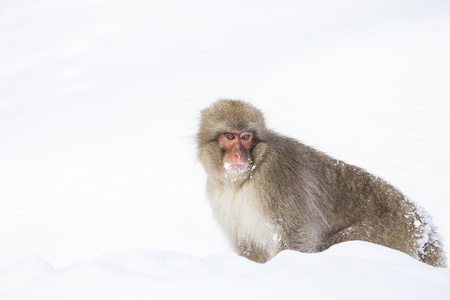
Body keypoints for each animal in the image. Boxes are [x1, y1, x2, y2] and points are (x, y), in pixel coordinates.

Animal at [198, 100, 446, 268]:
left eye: (245, 136)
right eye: (230, 136)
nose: (239, 155)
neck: (247, 177)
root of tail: (423, 222)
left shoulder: (278, 177)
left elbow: (298, 235)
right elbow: (249, 246)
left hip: (397, 232)